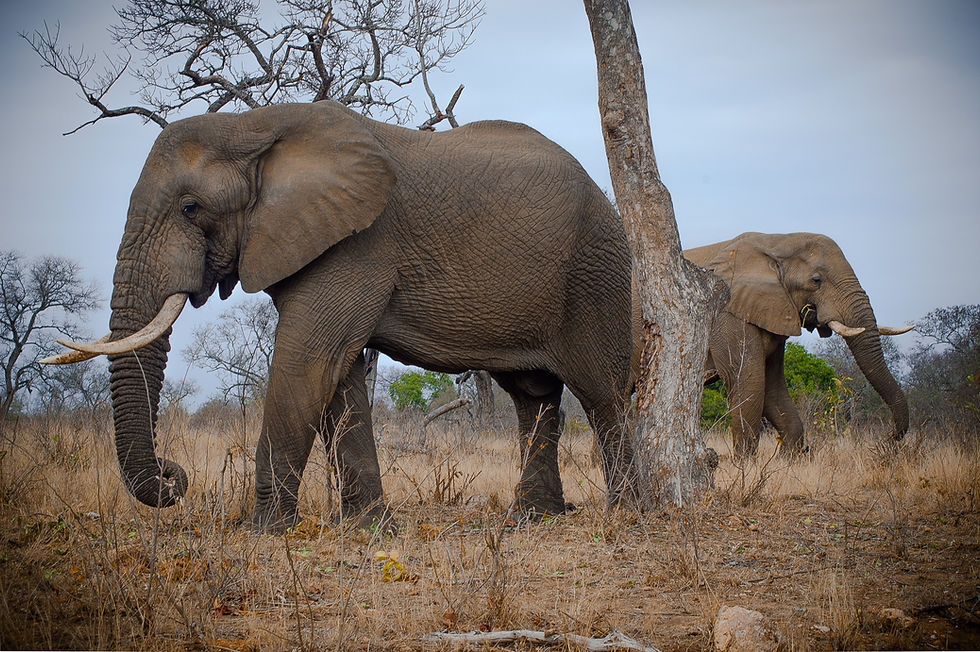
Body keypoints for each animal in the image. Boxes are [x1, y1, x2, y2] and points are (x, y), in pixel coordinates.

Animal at [48, 101, 636, 531]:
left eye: (191, 209)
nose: (174, 476)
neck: (253, 126)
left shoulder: (358, 242)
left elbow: (307, 358)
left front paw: (264, 532)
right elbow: (338, 374)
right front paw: (366, 528)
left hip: (597, 272)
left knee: (602, 394)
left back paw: (628, 513)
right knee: (533, 396)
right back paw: (533, 519)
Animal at [684, 232, 912, 457]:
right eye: (816, 280)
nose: (889, 438)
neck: (776, 240)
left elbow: (772, 388)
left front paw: (787, 459)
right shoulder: (728, 315)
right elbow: (747, 381)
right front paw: (744, 463)